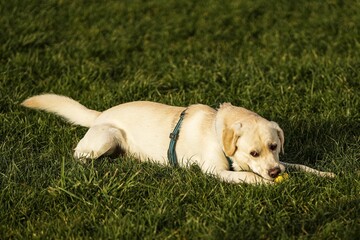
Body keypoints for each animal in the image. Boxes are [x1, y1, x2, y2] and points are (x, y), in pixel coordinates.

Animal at [20, 94, 334, 184]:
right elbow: (246, 176)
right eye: (253, 153)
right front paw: (265, 184)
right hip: (107, 137)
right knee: (79, 156)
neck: (219, 131)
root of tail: (99, 114)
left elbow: (301, 165)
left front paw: (325, 174)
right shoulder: (214, 170)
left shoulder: (282, 161)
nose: (274, 172)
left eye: (274, 146)